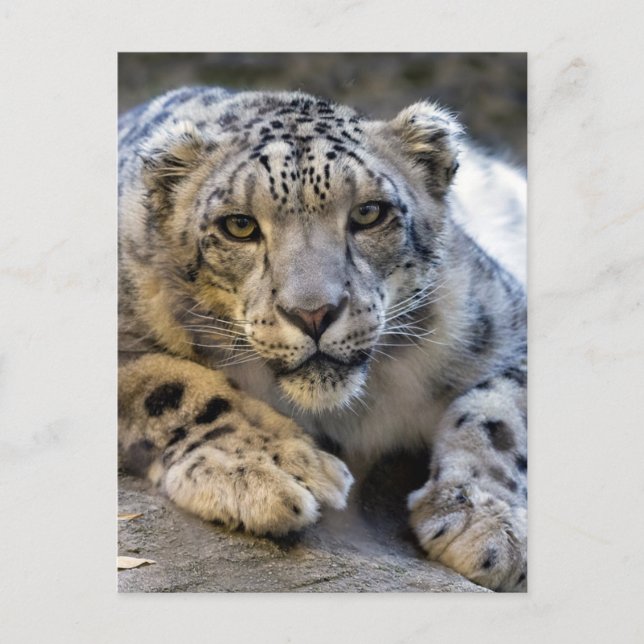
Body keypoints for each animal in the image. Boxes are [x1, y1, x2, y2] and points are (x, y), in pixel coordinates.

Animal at [118, 86, 527, 592]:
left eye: (369, 213)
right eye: (239, 225)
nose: (313, 312)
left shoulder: (503, 316)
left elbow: (500, 412)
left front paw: (486, 522)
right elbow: (168, 382)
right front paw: (274, 468)